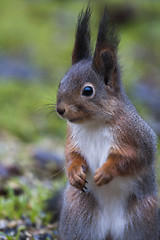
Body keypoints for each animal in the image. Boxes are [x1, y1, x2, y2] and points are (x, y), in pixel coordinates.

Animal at [55, 7, 158, 240]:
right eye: (60, 83)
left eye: (87, 90)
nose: (60, 109)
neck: (94, 123)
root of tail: (111, 231)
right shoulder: (72, 137)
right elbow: (71, 155)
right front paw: (74, 172)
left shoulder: (136, 137)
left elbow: (132, 159)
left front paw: (105, 172)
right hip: (79, 214)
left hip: (143, 216)